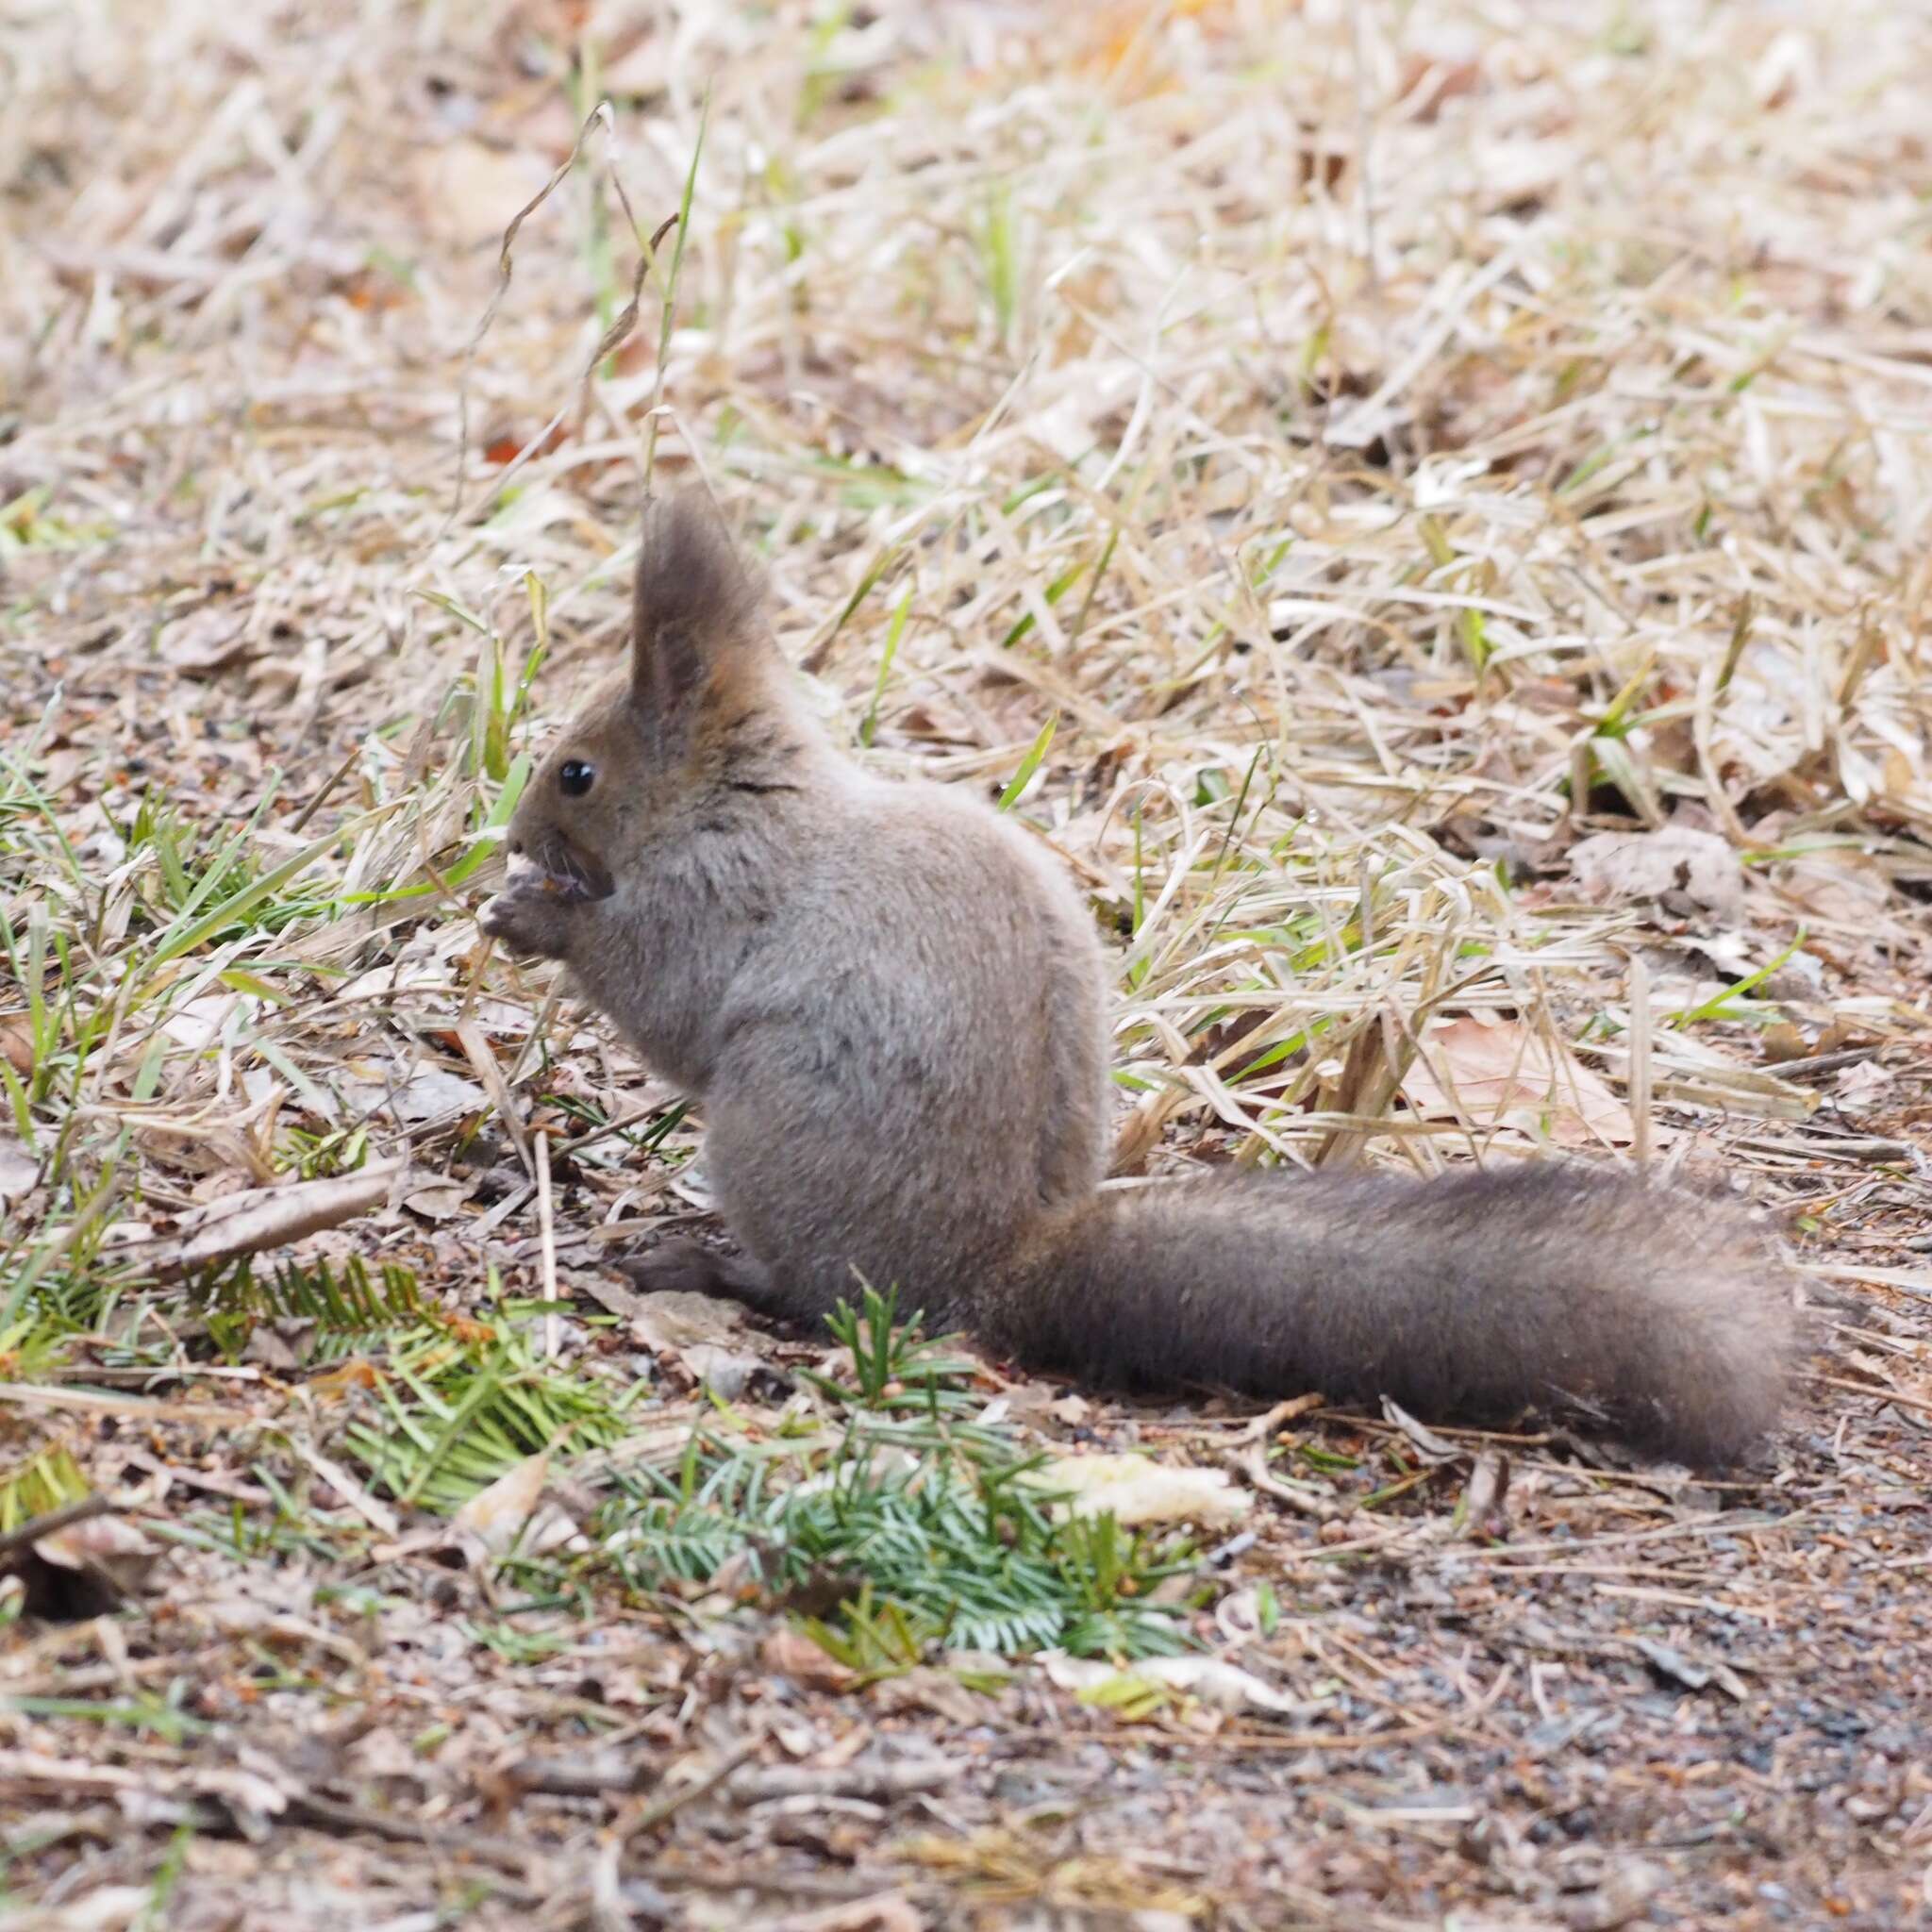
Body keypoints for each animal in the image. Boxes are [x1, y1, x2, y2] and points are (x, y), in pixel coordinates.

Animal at [483, 494, 1792, 1460]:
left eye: (576, 772)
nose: (510, 833)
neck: (738, 799)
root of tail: (993, 1271)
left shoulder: (718, 900)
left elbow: (666, 998)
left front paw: (532, 920)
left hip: (771, 1139)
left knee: (819, 1291)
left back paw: (708, 1262)